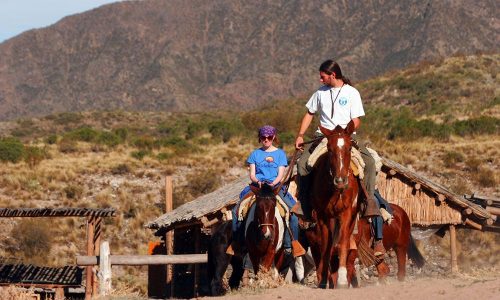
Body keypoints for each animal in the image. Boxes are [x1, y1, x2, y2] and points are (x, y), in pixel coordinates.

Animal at [306, 120, 362, 290]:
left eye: (349, 147)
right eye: (329, 149)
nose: (341, 180)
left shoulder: (346, 214)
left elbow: (343, 243)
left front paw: (342, 280)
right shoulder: (322, 216)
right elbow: (326, 245)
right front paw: (324, 279)